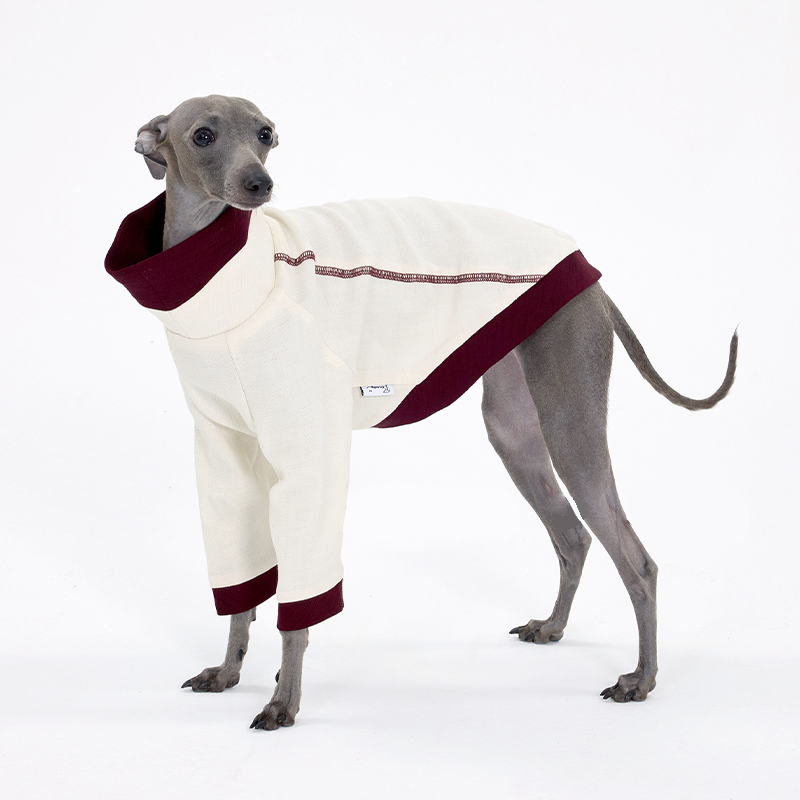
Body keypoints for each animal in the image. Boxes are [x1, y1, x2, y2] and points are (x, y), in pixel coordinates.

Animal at [105, 95, 737, 730]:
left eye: (265, 134)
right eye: (202, 135)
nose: (259, 184)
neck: (226, 286)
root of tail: (594, 282)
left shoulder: (310, 458)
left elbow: (298, 610)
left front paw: (284, 702)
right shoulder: (225, 455)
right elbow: (240, 590)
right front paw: (228, 672)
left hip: (570, 426)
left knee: (637, 560)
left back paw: (641, 679)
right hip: (514, 431)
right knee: (573, 536)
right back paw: (553, 627)